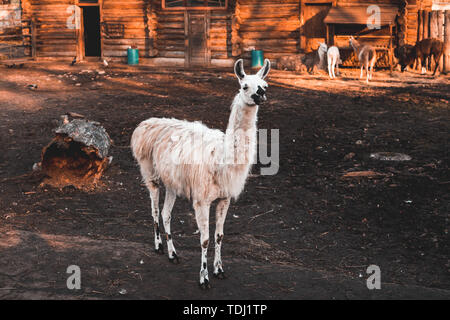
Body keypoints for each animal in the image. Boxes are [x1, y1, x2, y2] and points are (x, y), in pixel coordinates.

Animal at [130, 58, 270, 288]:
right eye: (244, 86)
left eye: (264, 85)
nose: (260, 95)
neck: (222, 160)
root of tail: (147, 123)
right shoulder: (202, 199)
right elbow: (204, 239)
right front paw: (204, 278)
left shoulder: (224, 198)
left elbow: (219, 235)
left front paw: (219, 270)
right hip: (150, 172)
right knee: (154, 210)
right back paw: (158, 245)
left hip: (173, 182)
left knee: (166, 214)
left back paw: (173, 254)